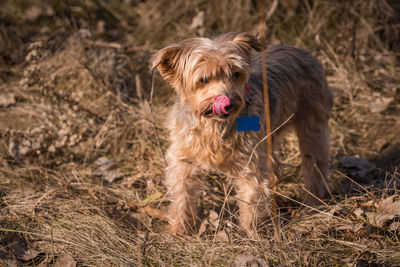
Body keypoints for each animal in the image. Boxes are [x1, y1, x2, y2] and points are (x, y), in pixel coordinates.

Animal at [152, 31, 332, 237]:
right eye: (204, 79)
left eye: (236, 74)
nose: (228, 102)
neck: (214, 125)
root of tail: (303, 51)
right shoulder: (184, 160)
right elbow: (182, 195)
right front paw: (177, 230)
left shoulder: (250, 163)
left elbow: (251, 198)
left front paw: (250, 234)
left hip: (312, 121)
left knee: (314, 162)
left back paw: (313, 202)